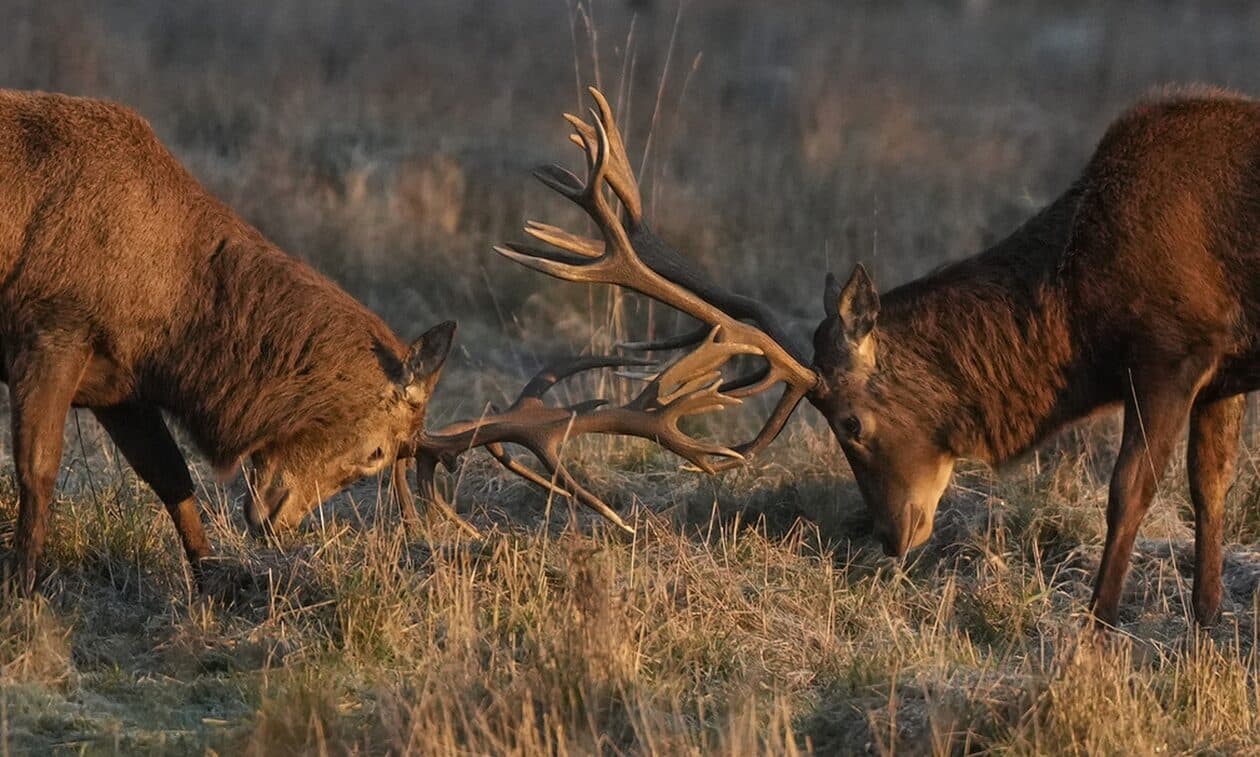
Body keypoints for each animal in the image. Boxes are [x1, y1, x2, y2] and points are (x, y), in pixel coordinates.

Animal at [0, 90, 458, 589]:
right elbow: (38, 469)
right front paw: (23, 586)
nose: (281, 523)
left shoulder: (118, 384)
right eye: (377, 452)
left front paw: (212, 579)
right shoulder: (50, 330)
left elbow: (170, 473)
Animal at [415, 84, 1260, 624]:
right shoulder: (1222, 371)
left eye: (850, 422)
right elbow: (1211, 488)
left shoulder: (1172, 346)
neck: (1079, 306)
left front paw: (1098, 625)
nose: (894, 535)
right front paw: (1205, 624)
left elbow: (1130, 490)